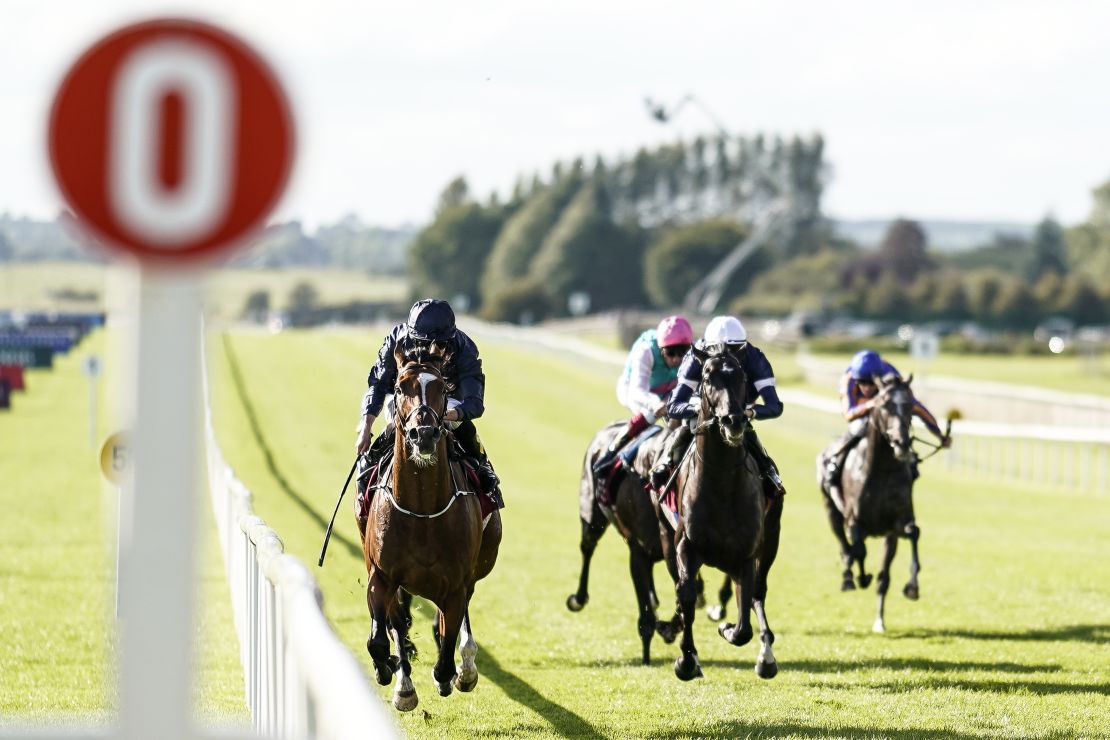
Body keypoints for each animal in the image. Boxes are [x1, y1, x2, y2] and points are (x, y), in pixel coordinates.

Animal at [364, 343, 503, 710]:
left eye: (442, 387)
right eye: (400, 387)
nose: (423, 434)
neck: (422, 511)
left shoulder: (456, 584)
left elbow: (447, 642)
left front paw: (452, 673)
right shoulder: (382, 576)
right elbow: (380, 639)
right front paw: (394, 677)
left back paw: (465, 666)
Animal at [661, 348, 785, 683]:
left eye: (741, 376)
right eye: (706, 377)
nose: (733, 420)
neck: (720, 481)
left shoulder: (747, 555)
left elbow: (742, 627)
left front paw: (727, 628)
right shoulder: (685, 545)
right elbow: (686, 594)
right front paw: (686, 660)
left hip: (770, 543)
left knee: (758, 593)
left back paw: (766, 656)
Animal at [821, 372, 923, 634]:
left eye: (910, 405)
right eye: (884, 405)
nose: (902, 443)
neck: (881, 469)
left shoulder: (896, 525)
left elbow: (913, 534)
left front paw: (912, 587)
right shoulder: (854, 519)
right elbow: (857, 549)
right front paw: (859, 576)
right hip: (831, 510)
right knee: (844, 544)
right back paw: (849, 576)